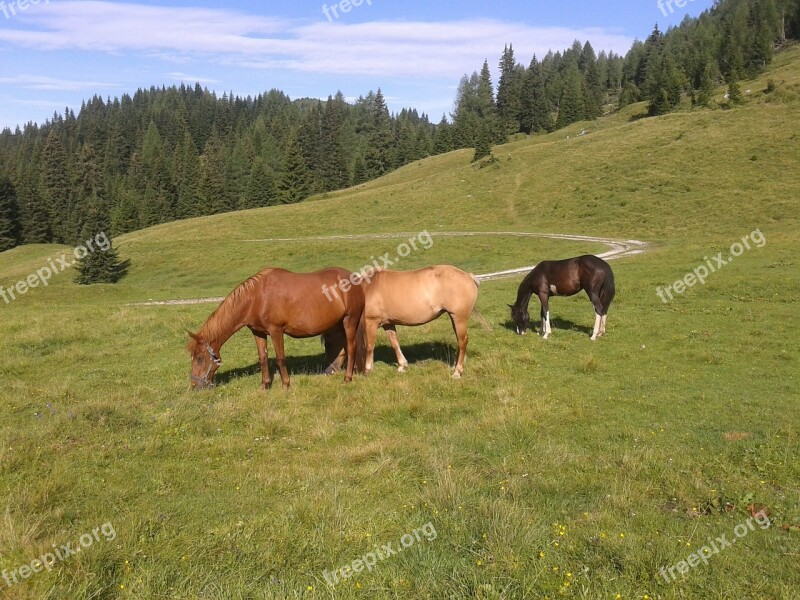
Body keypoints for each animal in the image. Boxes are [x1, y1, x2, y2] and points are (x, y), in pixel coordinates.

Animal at [186, 268, 364, 390]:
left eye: (200, 358)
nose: (195, 385)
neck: (256, 297)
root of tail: (354, 278)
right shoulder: (258, 332)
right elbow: (263, 358)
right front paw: (264, 385)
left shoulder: (276, 331)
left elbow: (280, 358)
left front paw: (286, 385)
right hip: (340, 324)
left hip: (350, 320)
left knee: (352, 347)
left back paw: (347, 378)